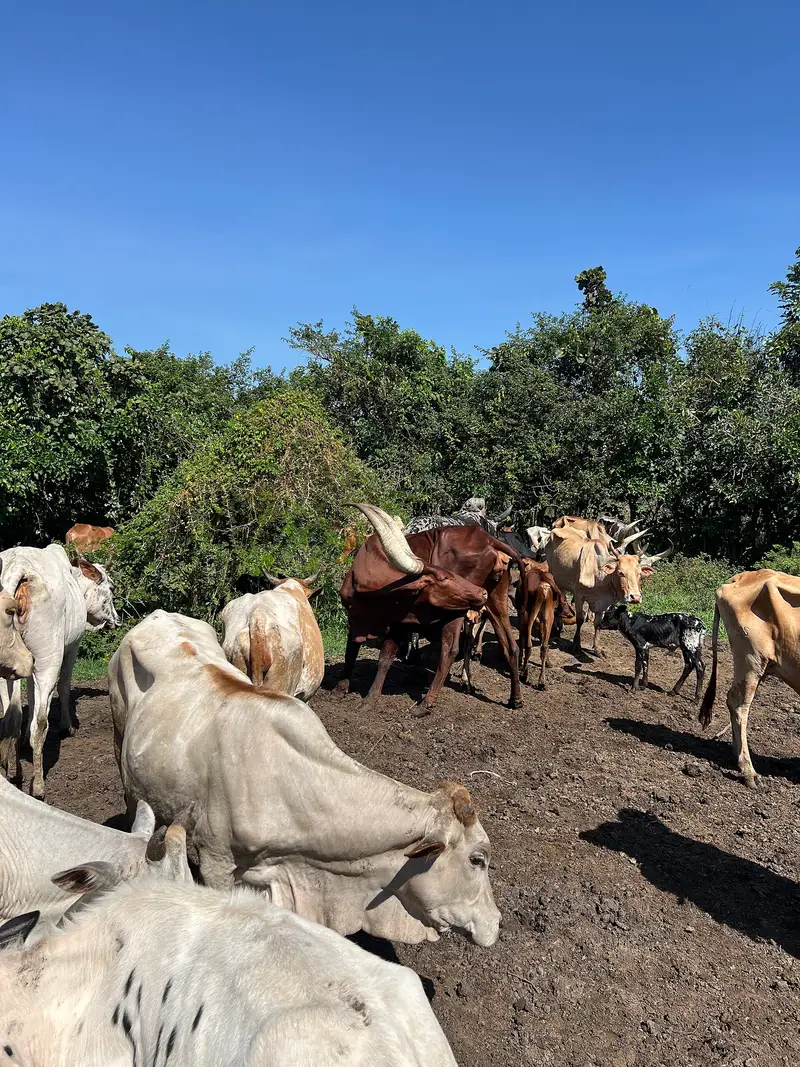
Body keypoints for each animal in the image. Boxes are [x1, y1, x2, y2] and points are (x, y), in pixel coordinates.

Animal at [0, 545, 119, 798]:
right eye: (111, 587)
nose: (116, 620)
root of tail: (16, 567)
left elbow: (31, 696)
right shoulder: (71, 647)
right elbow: (64, 688)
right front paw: (68, 726)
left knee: (10, 717)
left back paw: (13, 770)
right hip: (49, 658)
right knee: (40, 724)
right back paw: (38, 787)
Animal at [338, 504, 523, 711]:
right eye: (443, 578)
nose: (481, 592)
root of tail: (490, 539)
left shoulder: (398, 623)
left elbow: (382, 657)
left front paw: (369, 698)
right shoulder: (356, 620)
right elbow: (352, 653)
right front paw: (342, 688)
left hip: (458, 608)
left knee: (451, 649)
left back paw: (426, 703)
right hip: (495, 603)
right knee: (510, 646)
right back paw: (515, 698)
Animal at [545, 527, 670, 657]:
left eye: (639, 573)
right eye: (620, 572)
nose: (635, 597)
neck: (600, 576)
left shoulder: (604, 602)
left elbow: (598, 623)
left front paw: (598, 649)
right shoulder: (579, 596)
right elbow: (580, 619)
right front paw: (576, 645)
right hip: (555, 578)